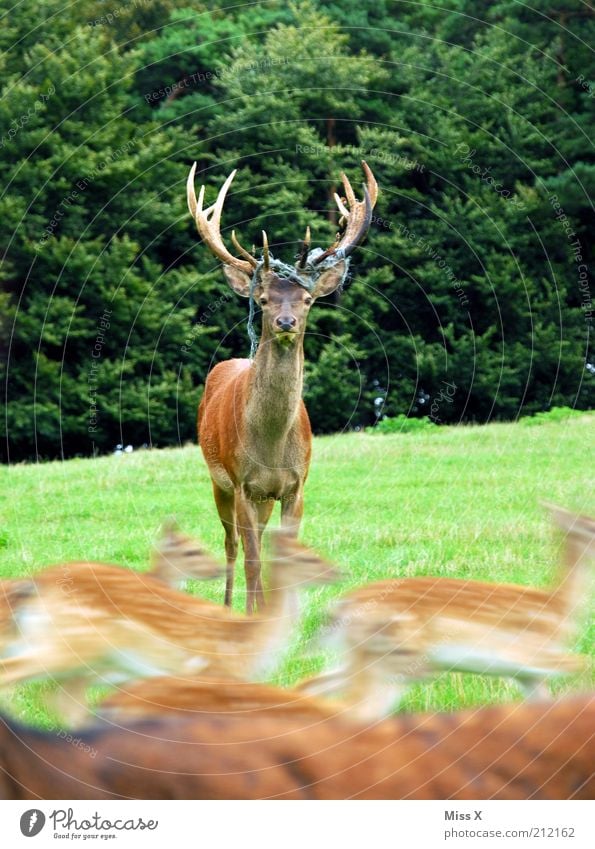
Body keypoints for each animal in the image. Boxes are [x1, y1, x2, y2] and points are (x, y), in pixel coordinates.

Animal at [189, 161, 378, 608]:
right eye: (262, 300)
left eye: (307, 300)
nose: (286, 322)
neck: (272, 448)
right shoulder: (243, 483)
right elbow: (253, 560)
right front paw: (254, 615)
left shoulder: (296, 485)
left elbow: (283, 562)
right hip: (218, 480)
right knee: (232, 546)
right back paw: (230, 606)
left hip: (262, 497)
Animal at [300, 506, 592, 720]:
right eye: (590, 523)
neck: (561, 606)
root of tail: (339, 605)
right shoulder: (528, 654)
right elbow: (584, 665)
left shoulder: (527, 673)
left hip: (352, 655)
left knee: (314, 684)